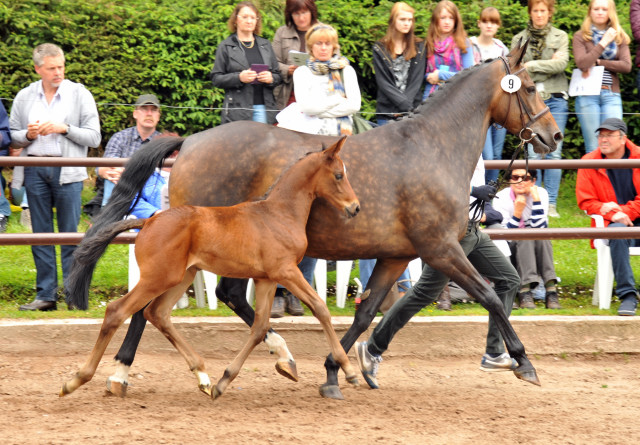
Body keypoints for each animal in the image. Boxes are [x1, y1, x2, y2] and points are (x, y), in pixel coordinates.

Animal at [61, 138, 360, 398]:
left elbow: (260, 328)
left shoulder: (265, 279)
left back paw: (203, 375)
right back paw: (76, 380)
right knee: (118, 311)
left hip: (182, 276)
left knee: (156, 313)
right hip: (158, 278)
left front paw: (224, 381)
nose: (355, 207)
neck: (279, 214)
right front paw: (348, 370)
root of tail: (148, 221)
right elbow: (319, 307)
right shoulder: (286, 271)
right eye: (338, 175)